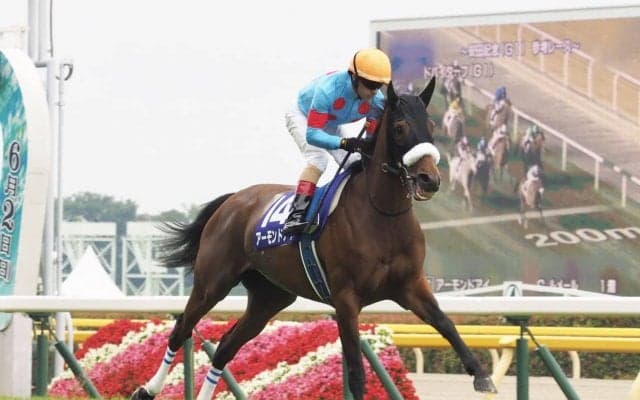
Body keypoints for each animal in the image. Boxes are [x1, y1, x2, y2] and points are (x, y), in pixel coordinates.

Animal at [130, 78, 496, 400]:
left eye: (432, 125)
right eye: (400, 128)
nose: (429, 179)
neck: (383, 216)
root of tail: (233, 200)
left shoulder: (409, 286)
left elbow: (446, 323)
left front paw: (481, 376)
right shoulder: (346, 298)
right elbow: (355, 370)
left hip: (269, 298)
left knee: (225, 347)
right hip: (213, 282)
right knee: (182, 328)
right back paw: (146, 389)